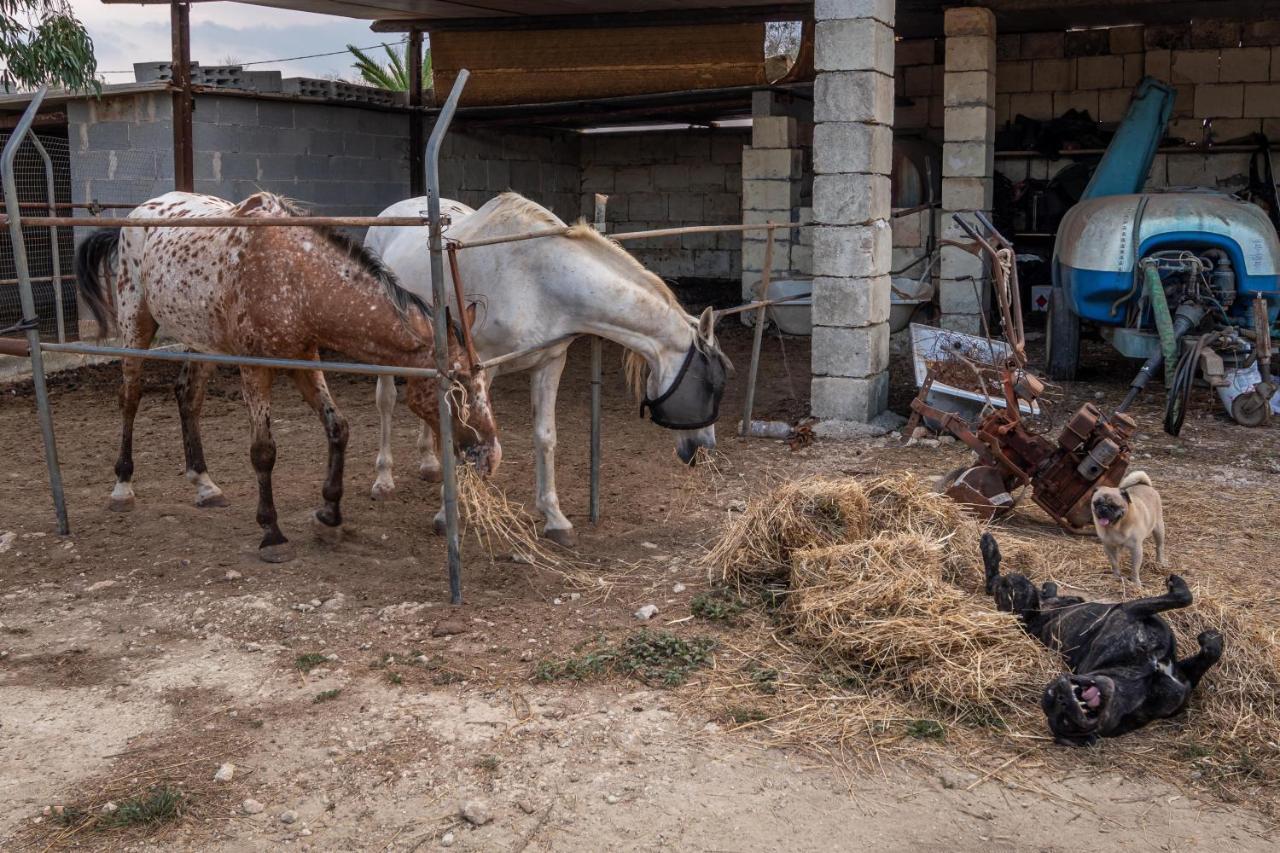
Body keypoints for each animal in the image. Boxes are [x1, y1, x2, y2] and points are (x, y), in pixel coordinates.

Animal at [73, 193, 504, 563]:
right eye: (456, 385)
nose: (491, 456)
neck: (295, 278)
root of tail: (137, 214)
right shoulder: (254, 367)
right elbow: (263, 451)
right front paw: (272, 534)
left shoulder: (304, 358)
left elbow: (338, 428)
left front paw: (329, 516)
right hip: (136, 322)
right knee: (130, 396)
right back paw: (122, 487)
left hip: (202, 340)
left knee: (188, 395)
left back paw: (205, 485)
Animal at [368, 192, 732, 545]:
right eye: (711, 384)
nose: (705, 447)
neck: (535, 278)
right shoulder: (481, 369)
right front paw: (447, 516)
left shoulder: (550, 362)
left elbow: (545, 436)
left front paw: (555, 519)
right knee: (386, 402)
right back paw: (383, 480)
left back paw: (429, 464)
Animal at [977, 535, 1218, 742]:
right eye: (1065, 721)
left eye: (1054, 692)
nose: (1062, 697)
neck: (1138, 683)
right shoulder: (1126, 611)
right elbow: (1184, 598)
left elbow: (1210, 647)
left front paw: (1210, 638)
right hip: (1019, 597)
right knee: (999, 582)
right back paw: (989, 547)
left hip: (1054, 598)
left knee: (1038, 588)